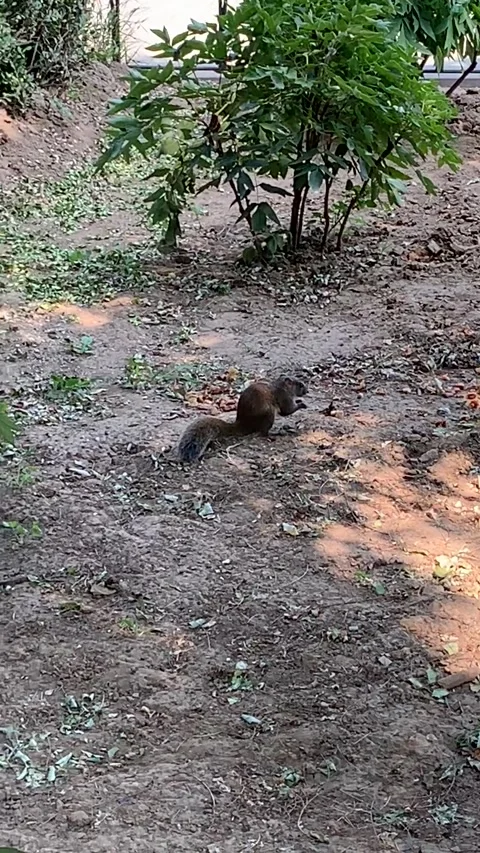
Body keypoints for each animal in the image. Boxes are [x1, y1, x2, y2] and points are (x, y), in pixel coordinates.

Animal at [177, 375, 307, 463]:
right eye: (300, 384)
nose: (307, 391)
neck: (281, 386)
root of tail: (243, 423)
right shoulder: (284, 397)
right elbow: (287, 410)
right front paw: (301, 404)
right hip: (268, 414)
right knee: (263, 432)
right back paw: (274, 434)